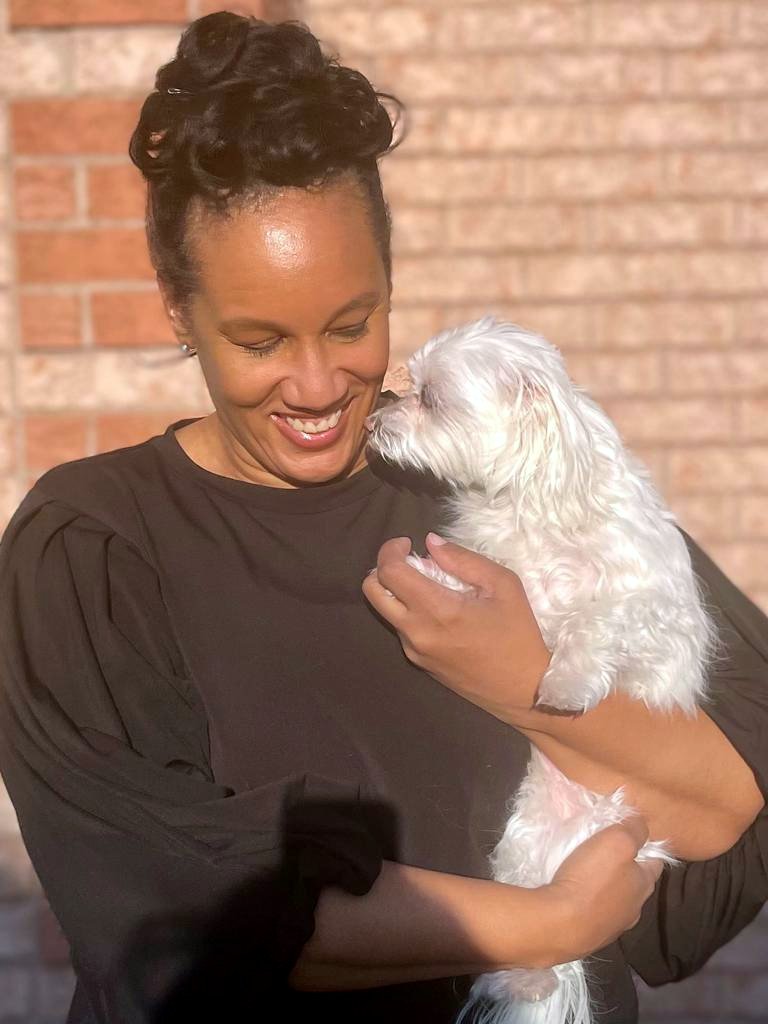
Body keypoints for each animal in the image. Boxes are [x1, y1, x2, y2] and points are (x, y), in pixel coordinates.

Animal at [366, 315, 720, 1024]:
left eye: (432, 399)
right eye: (407, 388)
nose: (373, 421)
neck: (529, 504)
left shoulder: (655, 612)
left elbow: (595, 619)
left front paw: (566, 680)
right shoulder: (497, 560)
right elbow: (475, 569)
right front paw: (424, 574)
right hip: (523, 847)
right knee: (536, 933)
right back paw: (522, 982)